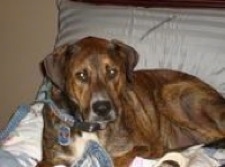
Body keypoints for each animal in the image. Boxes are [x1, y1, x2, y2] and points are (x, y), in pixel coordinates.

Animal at [39, 36, 225, 167]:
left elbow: (117, 159)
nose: (102, 108)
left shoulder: (146, 147)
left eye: (112, 72)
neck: (89, 129)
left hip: (172, 93)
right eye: (81, 75)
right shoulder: (48, 160)